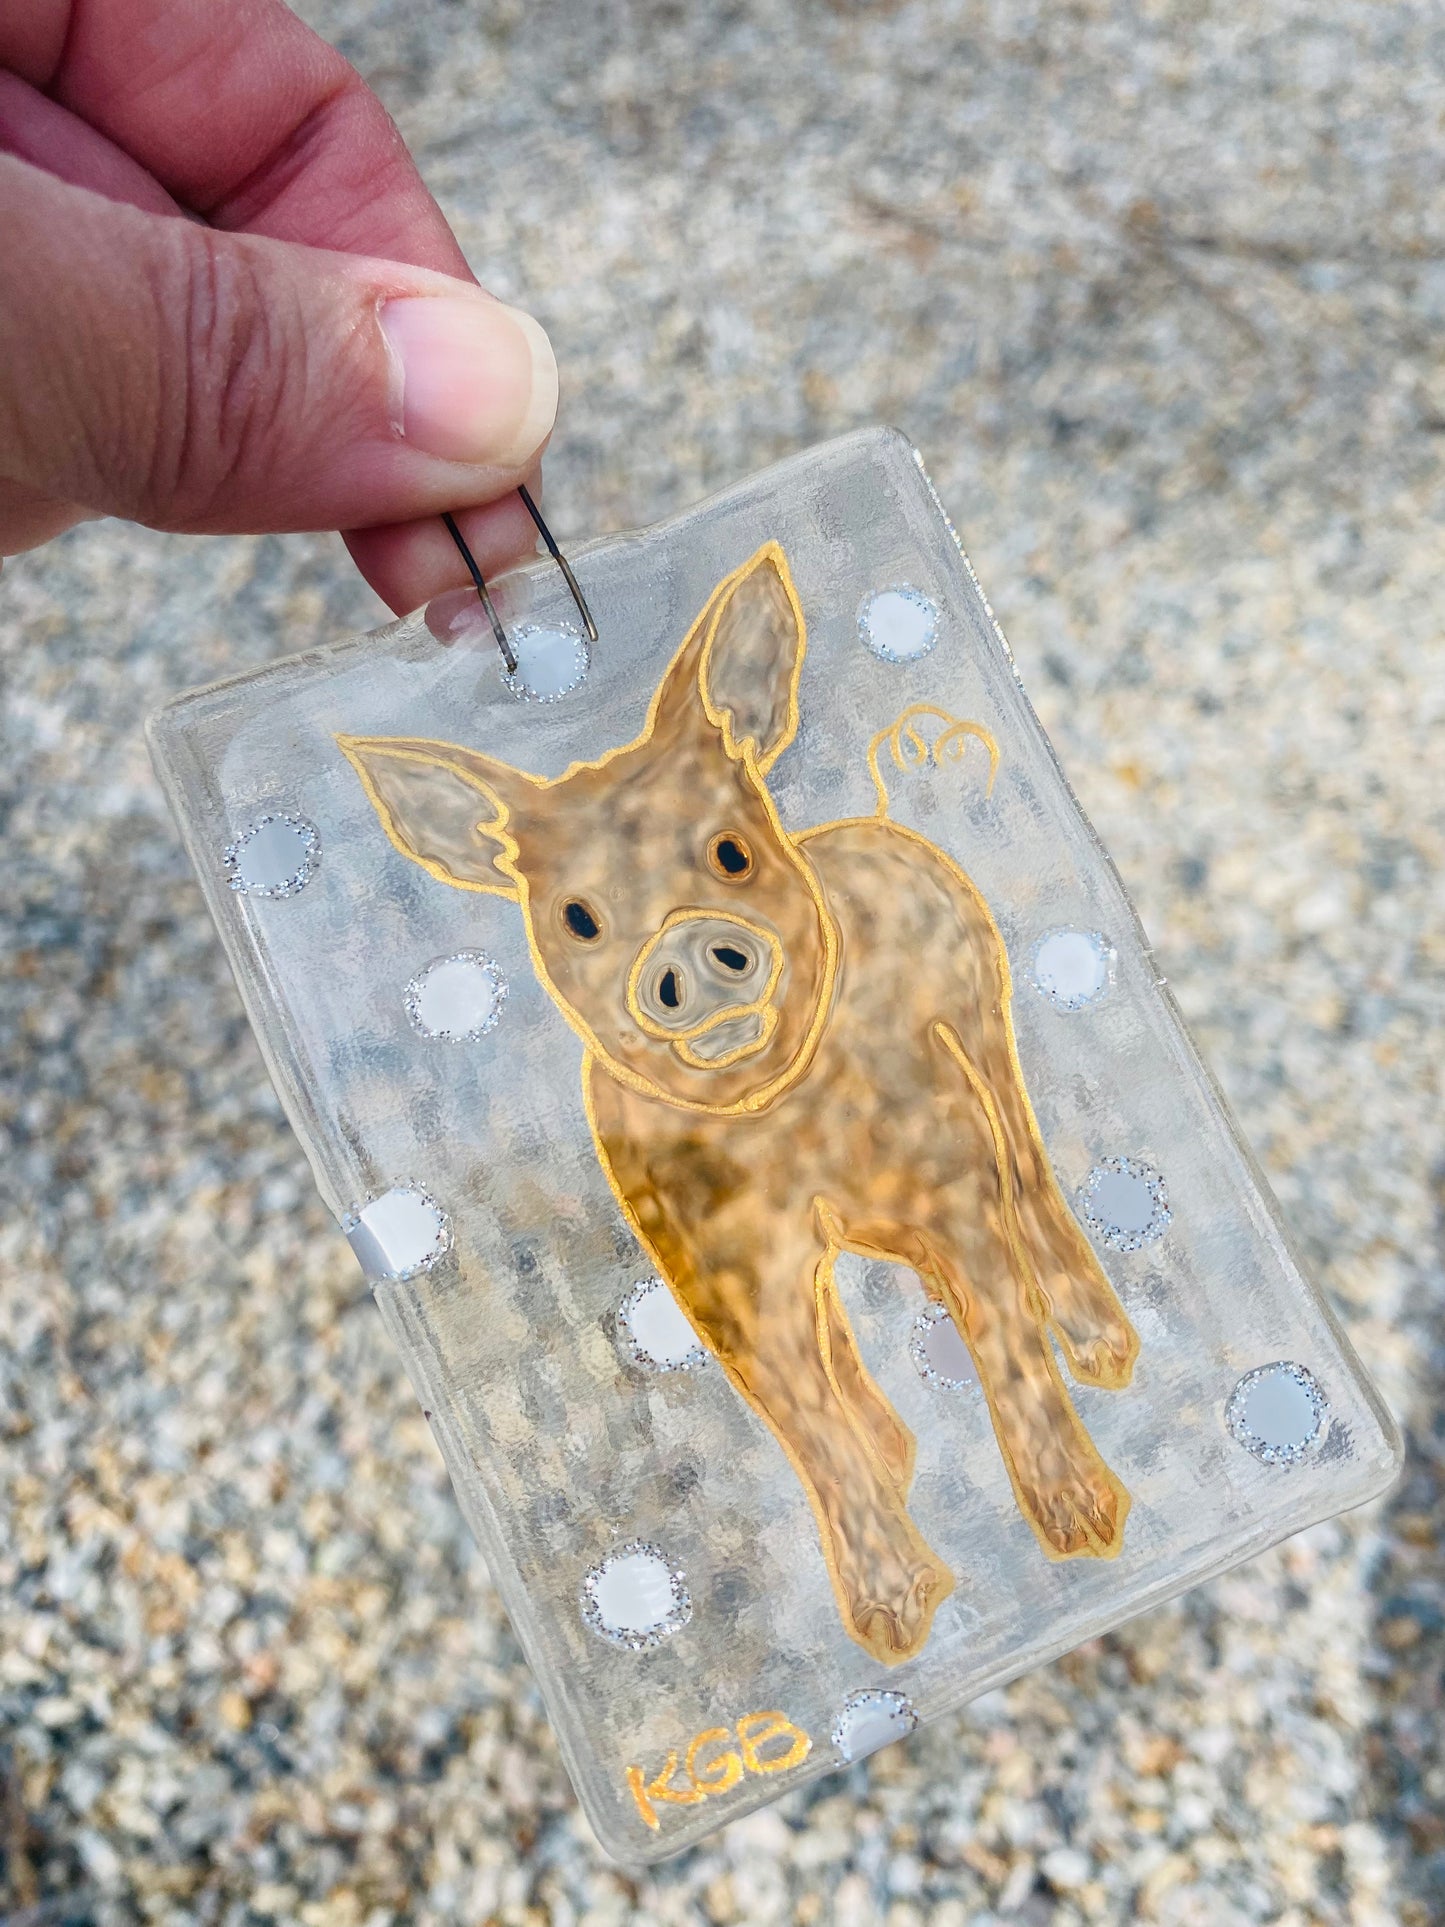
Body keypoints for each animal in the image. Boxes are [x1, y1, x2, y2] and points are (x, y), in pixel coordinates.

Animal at [340, 541, 1138, 1665]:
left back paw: (1098, 1346)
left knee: (1023, 1166)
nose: (681, 941)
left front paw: (1079, 1523)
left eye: (729, 852)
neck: (778, 1116)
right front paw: (891, 1618)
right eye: (576, 917)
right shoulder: (722, 1282)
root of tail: (873, 824)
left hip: (983, 1018)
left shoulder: (947, 1190)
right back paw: (900, 1451)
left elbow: (1005, 1347)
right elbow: (804, 1422)